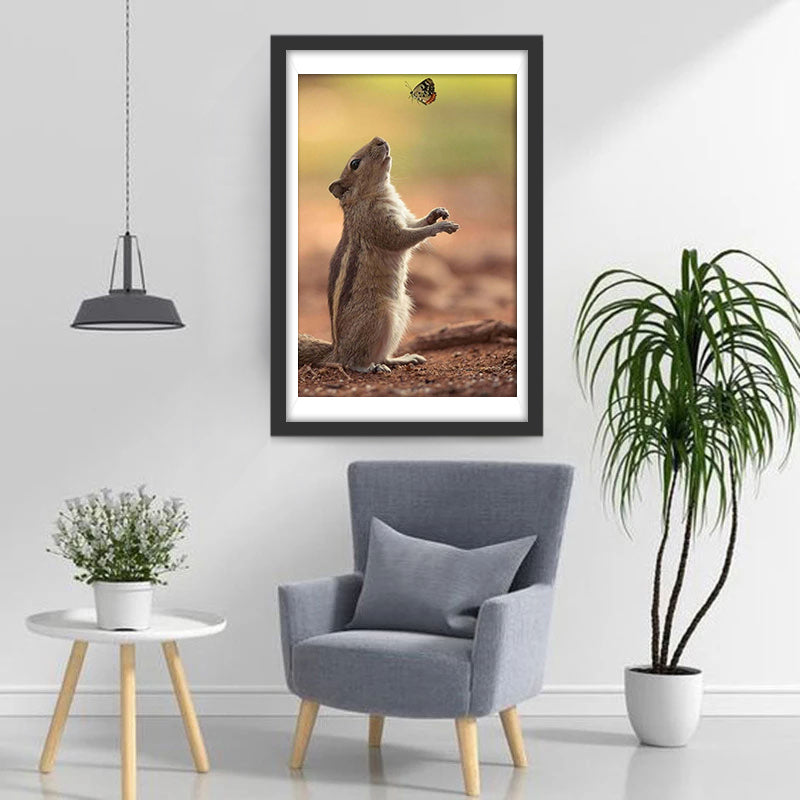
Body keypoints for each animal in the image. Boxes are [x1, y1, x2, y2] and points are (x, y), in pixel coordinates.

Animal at [298, 136, 460, 374]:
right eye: (355, 163)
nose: (379, 139)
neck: (377, 193)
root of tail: (336, 350)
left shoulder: (404, 216)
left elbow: (416, 224)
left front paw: (436, 213)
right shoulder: (379, 226)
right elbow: (404, 238)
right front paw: (441, 226)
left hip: (403, 309)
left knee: (382, 355)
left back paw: (401, 359)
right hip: (380, 315)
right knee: (351, 362)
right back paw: (370, 368)